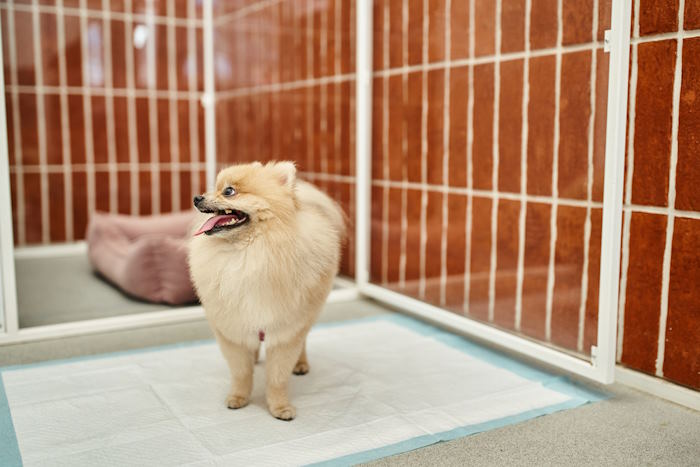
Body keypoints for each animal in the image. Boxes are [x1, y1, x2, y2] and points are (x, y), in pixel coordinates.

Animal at [187, 161, 346, 420]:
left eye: (229, 191)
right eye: (215, 188)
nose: (197, 197)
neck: (247, 253)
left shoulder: (286, 331)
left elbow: (277, 377)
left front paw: (280, 407)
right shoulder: (232, 327)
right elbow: (241, 372)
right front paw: (238, 397)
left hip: (308, 314)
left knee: (304, 341)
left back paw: (301, 364)